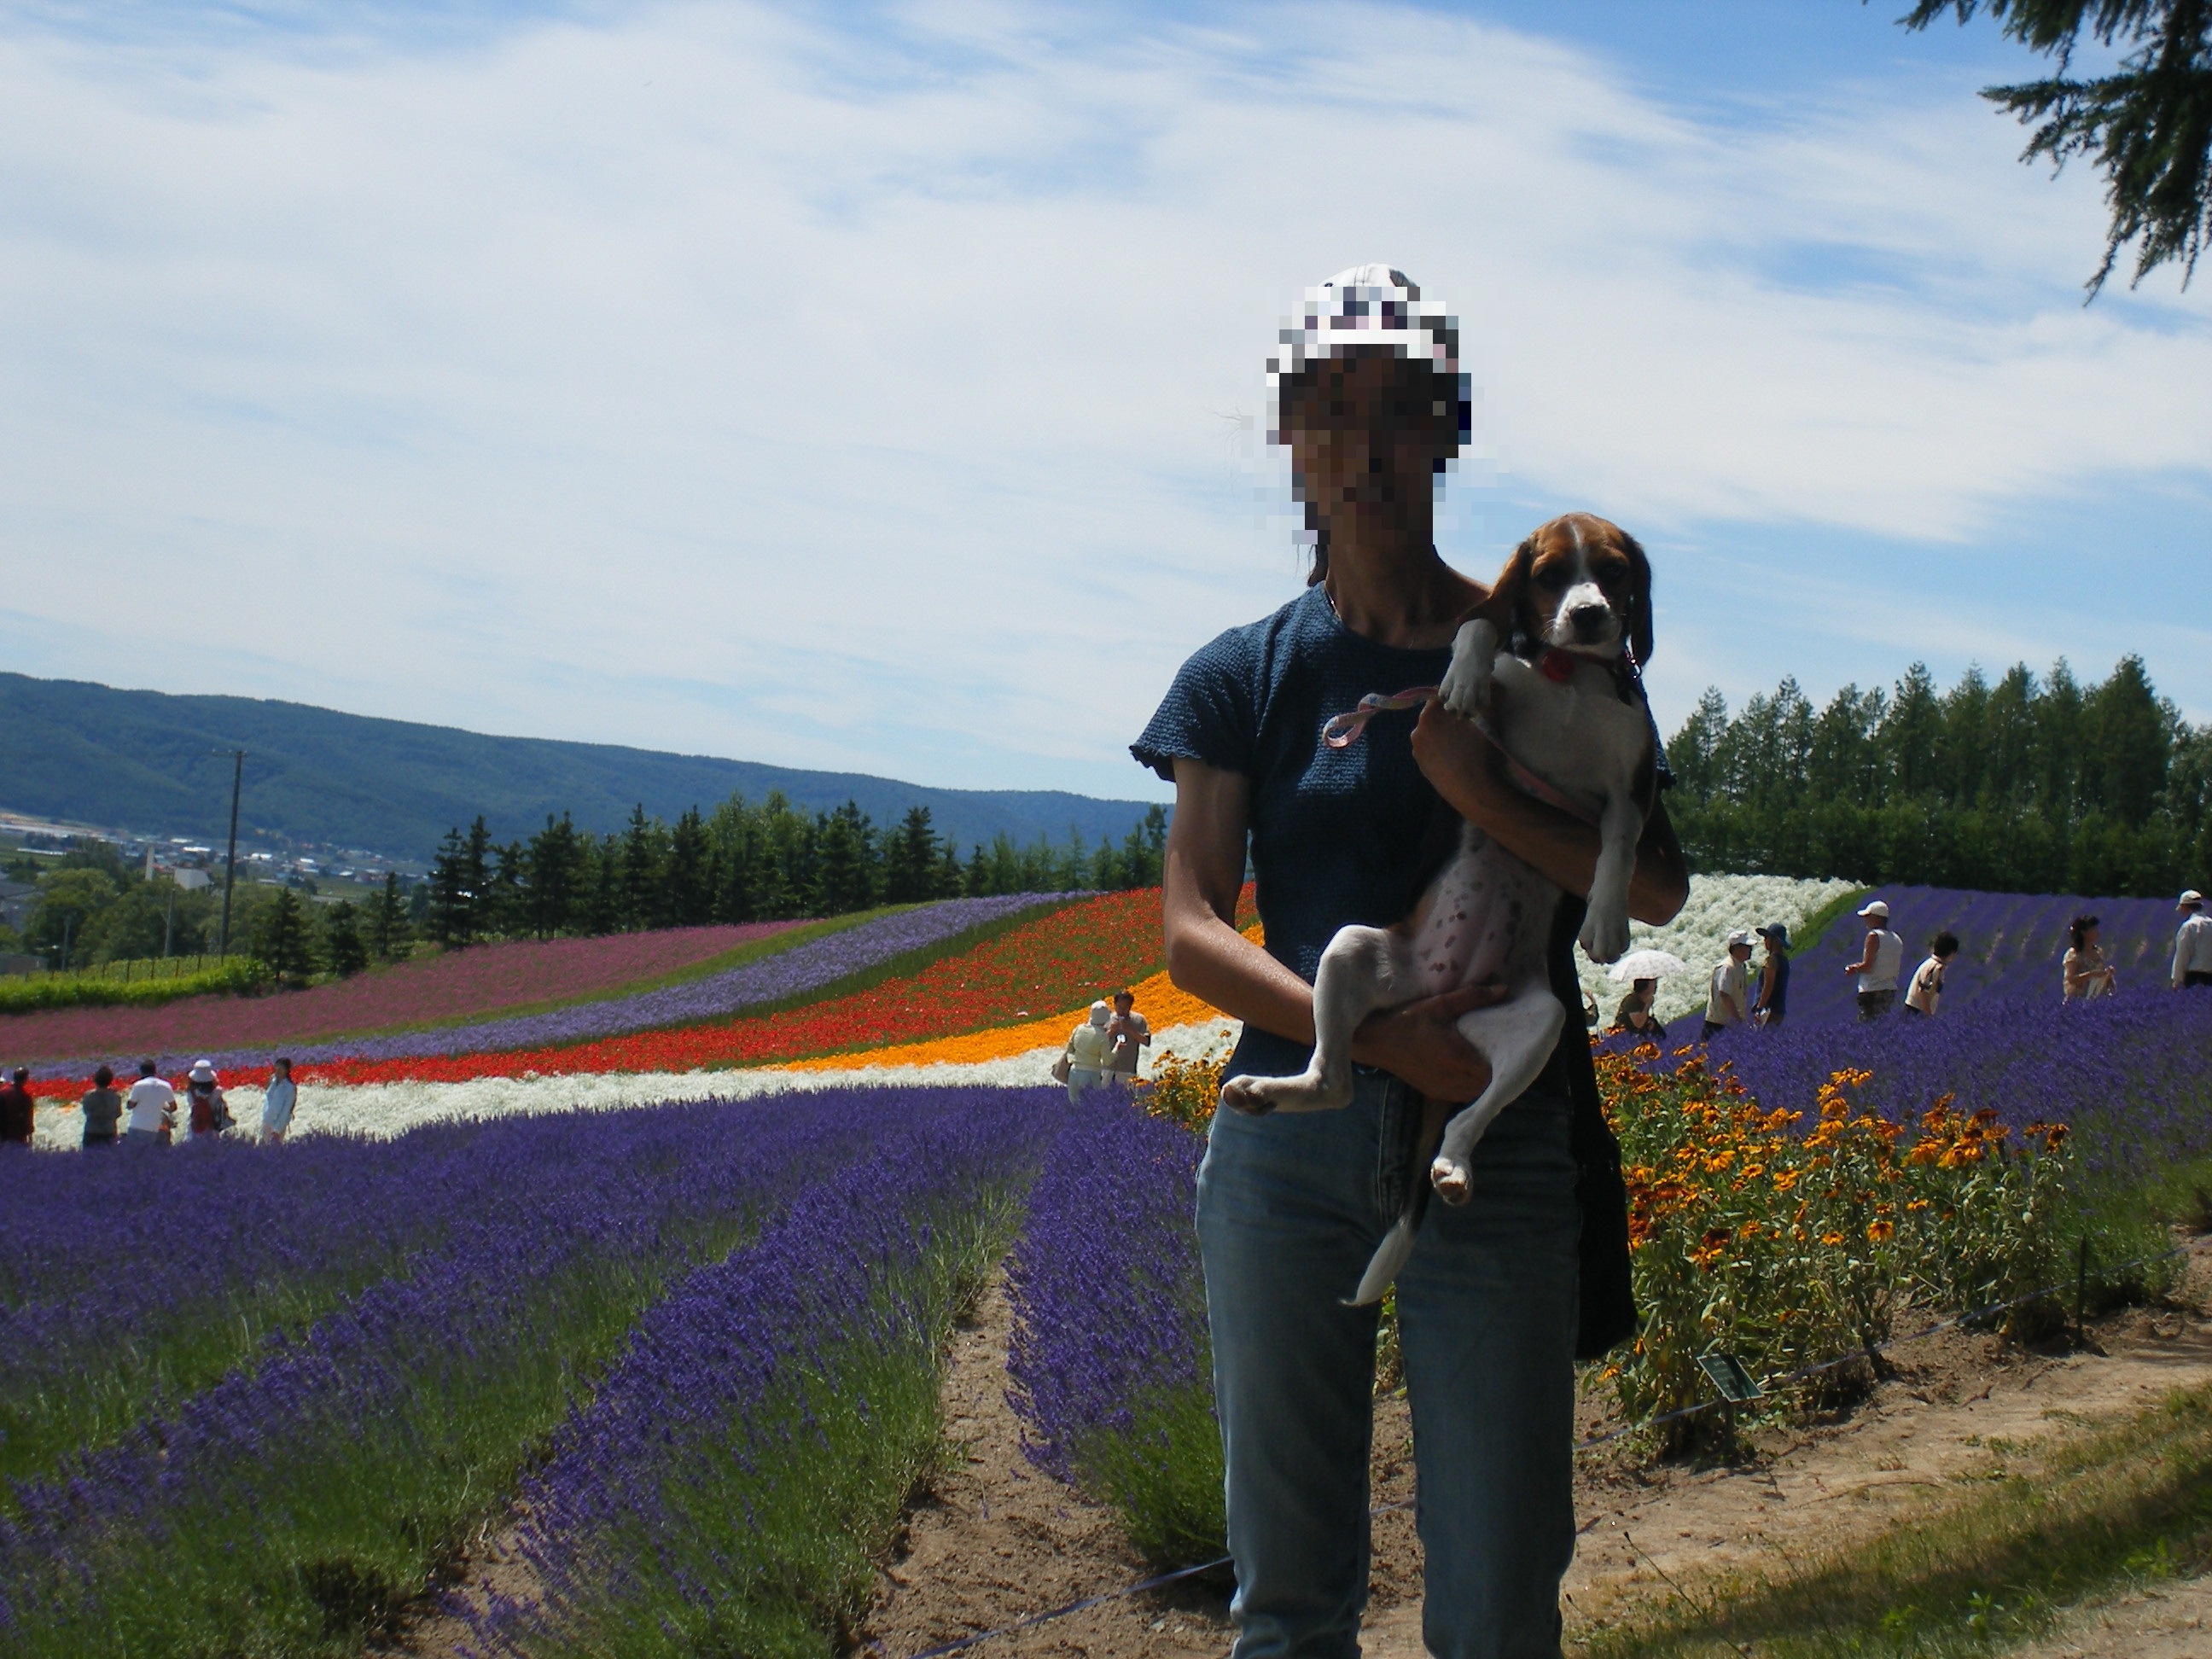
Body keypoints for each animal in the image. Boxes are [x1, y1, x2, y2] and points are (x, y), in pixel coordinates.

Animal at [1230, 513, 1663, 1309]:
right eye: (1549, 575)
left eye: (1615, 571)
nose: (1589, 616)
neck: (1571, 678)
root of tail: (1438, 993)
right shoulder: (1491, 714)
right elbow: (1479, 630)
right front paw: (1462, 671)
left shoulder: (1632, 788)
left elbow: (1616, 848)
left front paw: (1606, 919)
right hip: (1351, 949)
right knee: (1334, 1079)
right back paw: (1267, 1091)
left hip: (1539, 1021)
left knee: (1464, 1117)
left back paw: (1456, 1168)